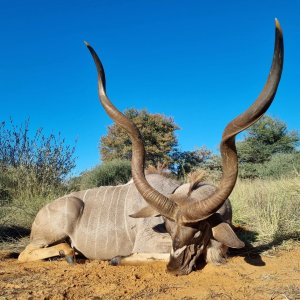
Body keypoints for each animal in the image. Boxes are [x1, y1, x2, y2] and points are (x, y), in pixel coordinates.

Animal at [19, 19, 284, 276]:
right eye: (167, 227)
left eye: (198, 231)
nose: (175, 268)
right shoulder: (150, 243)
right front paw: (118, 258)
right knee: (25, 253)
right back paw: (68, 253)